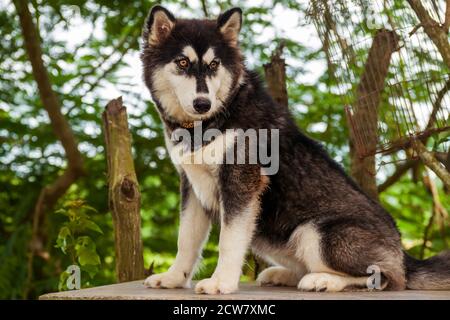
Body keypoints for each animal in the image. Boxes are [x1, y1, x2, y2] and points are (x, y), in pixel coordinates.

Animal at [141, 5, 450, 296]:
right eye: (182, 62)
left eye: (214, 64)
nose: (203, 103)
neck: (210, 121)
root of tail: (405, 256)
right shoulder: (191, 184)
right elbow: (186, 239)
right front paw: (174, 277)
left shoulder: (241, 182)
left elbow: (229, 241)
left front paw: (222, 282)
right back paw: (285, 274)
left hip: (314, 231)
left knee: (385, 278)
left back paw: (323, 280)